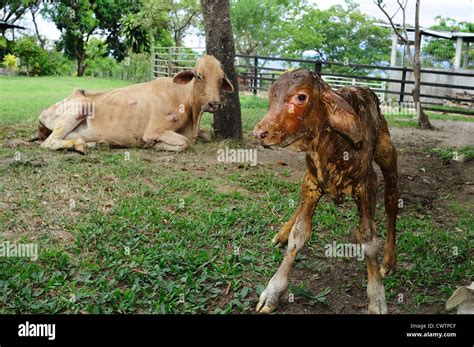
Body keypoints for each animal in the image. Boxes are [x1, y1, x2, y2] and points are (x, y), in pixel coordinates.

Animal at [38, 55, 234, 154]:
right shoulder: (154, 130)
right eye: (199, 76)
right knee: (49, 142)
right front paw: (154, 145)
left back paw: (96, 144)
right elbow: (185, 142)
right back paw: (80, 145)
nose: (215, 104)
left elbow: (207, 135)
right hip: (81, 106)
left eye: (220, 79)